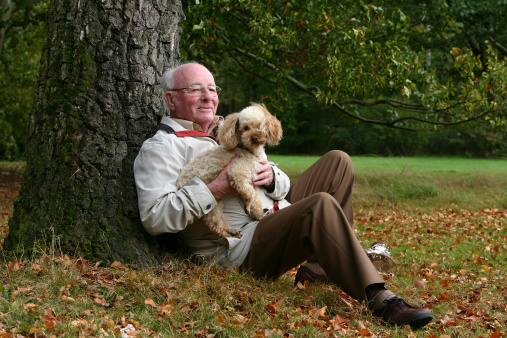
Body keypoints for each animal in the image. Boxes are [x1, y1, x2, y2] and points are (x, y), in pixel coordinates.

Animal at [178, 101, 282, 236]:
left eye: (260, 126)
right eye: (246, 128)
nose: (254, 138)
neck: (248, 151)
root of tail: (178, 184)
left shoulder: (252, 180)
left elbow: (255, 200)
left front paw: (258, 214)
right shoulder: (237, 174)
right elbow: (250, 195)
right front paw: (249, 206)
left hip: (216, 201)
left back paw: (231, 229)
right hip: (210, 203)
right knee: (215, 224)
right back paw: (225, 233)